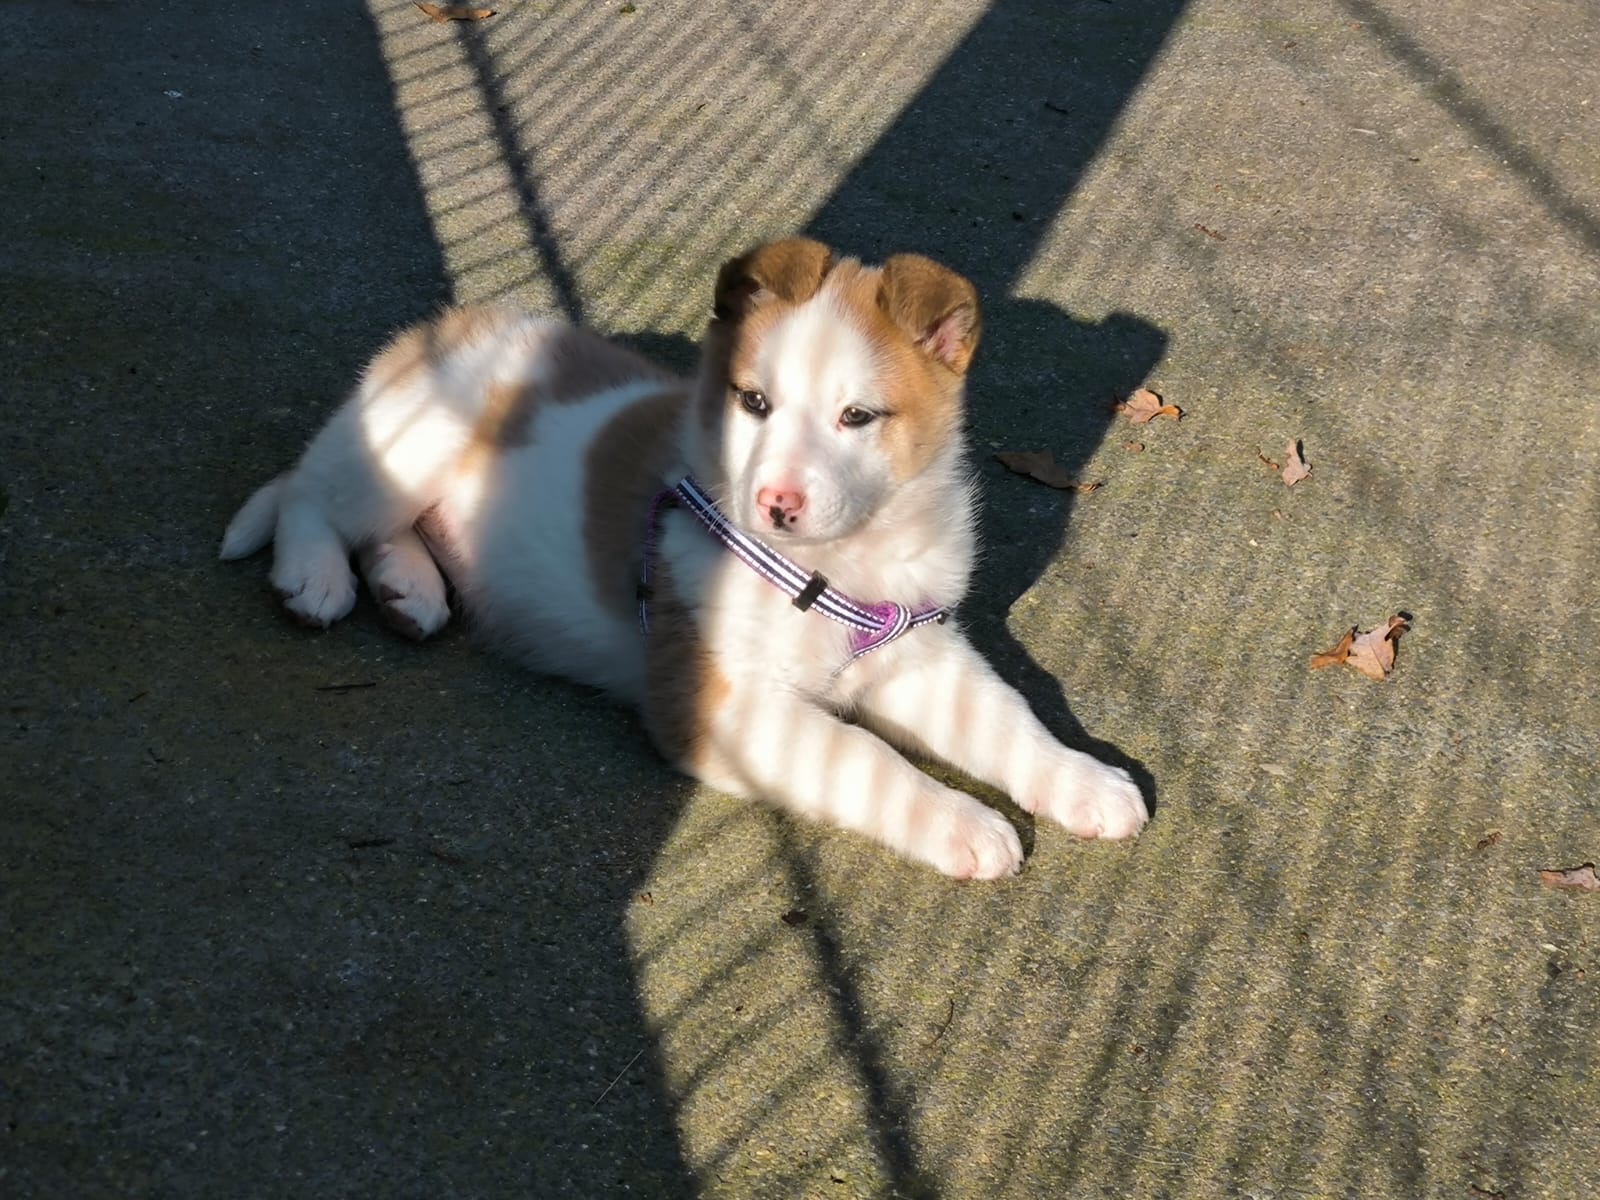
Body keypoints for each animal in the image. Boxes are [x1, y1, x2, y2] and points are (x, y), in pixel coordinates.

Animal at [220, 238, 1148, 877]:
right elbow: (863, 756)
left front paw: (1082, 780)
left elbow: (1006, 717)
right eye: (754, 403)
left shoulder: (917, 651)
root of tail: (442, 329)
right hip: (406, 450)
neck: (835, 565)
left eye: (857, 417)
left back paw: (406, 586)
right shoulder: (719, 705)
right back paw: (316, 575)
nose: (776, 504)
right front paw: (963, 823)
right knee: (310, 492)